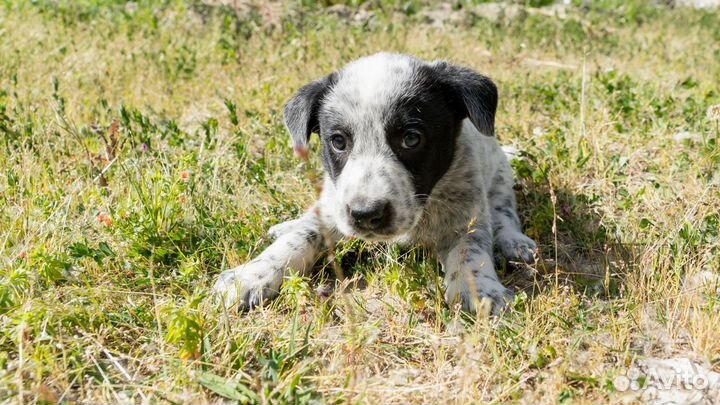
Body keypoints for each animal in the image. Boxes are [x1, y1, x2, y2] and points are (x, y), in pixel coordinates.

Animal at [211, 52, 536, 314]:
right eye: (338, 141)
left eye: (411, 138)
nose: (366, 215)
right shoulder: (334, 208)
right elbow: (299, 237)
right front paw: (252, 275)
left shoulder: (467, 217)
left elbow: (471, 252)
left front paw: (482, 289)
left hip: (499, 176)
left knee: (504, 210)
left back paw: (513, 241)